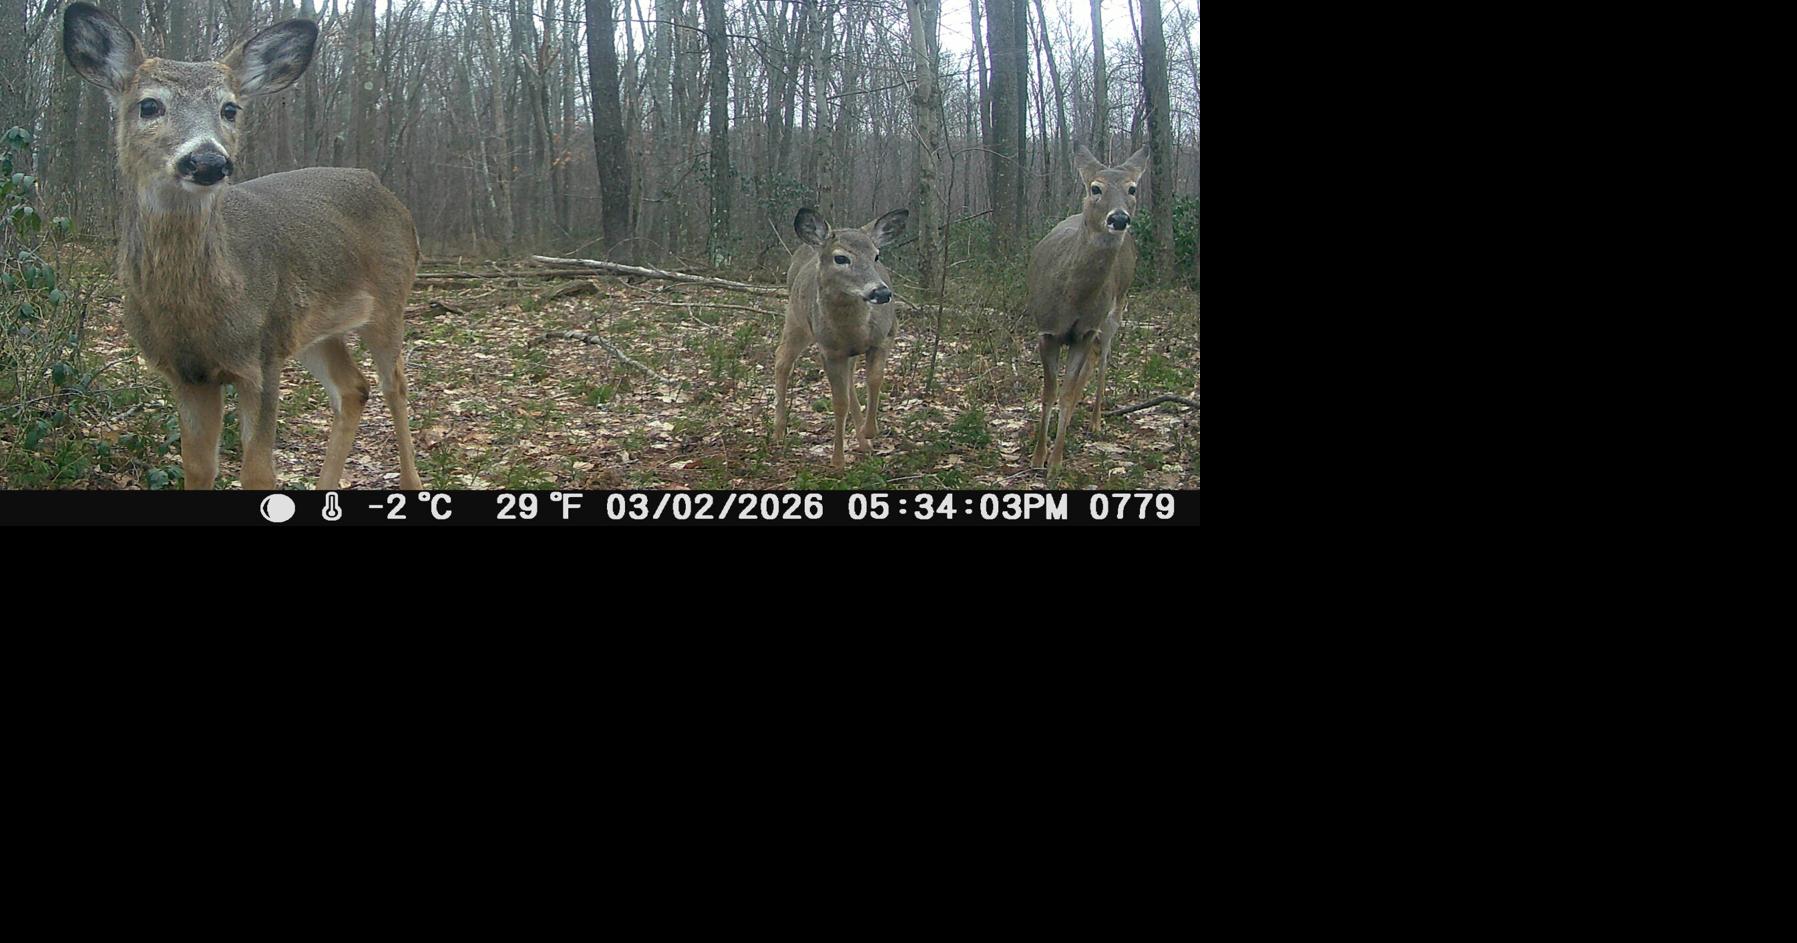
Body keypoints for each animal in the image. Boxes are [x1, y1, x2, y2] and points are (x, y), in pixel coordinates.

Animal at [62, 2, 422, 491]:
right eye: (149, 104)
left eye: (229, 108)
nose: (207, 160)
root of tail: (386, 191)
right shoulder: (188, 374)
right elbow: (198, 467)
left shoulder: (261, 358)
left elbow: (258, 473)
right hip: (310, 328)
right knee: (354, 388)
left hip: (388, 301)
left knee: (395, 386)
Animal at [774, 207, 909, 469]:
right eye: (841, 258)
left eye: (876, 256)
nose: (881, 292)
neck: (854, 329)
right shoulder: (829, 351)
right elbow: (839, 403)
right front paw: (838, 461)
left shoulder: (885, 337)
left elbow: (874, 379)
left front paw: (869, 431)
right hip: (796, 319)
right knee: (782, 360)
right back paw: (778, 431)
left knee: (851, 384)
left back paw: (864, 443)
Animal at [1026, 144, 1149, 484]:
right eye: (1096, 188)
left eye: (1132, 189)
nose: (1118, 218)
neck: (1073, 296)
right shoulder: (1047, 331)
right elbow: (1049, 393)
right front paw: (1037, 458)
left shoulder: (1082, 331)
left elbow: (1066, 395)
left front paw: (1054, 464)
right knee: (1093, 361)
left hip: (1114, 310)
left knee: (1103, 358)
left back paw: (1094, 421)